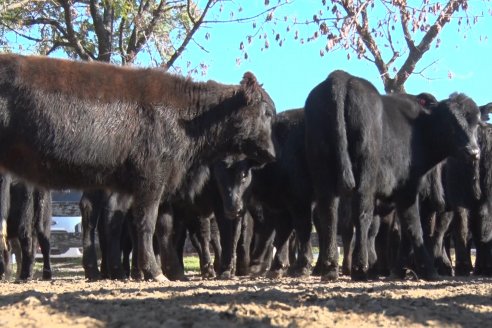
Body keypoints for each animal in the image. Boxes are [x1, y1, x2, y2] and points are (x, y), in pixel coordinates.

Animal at [0, 55, 276, 280]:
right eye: (267, 113)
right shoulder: (153, 179)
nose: (271, 154)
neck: (186, 119)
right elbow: (147, 223)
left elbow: (136, 224)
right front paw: (156, 272)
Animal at [304, 70, 480, 280]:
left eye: (476, 123)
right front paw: (427, 270)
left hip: (322, 173)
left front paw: (401, 269)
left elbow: (402, 228)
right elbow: (413, 226)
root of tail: (341, 77)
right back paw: (360, 268)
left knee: (328, 215)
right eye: (449, 123)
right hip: (365, 174)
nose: (473, 152)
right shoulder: (408, 188)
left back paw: (331, 268)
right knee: (362, 215)